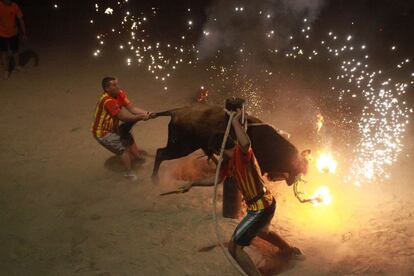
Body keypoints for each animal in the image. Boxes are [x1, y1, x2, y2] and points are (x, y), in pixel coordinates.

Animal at [152, 102, 310, 184]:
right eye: (300, 167)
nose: (302, 177)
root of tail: (176, 111)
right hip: (182, 146)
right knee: (160, 153)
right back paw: (155, 180)